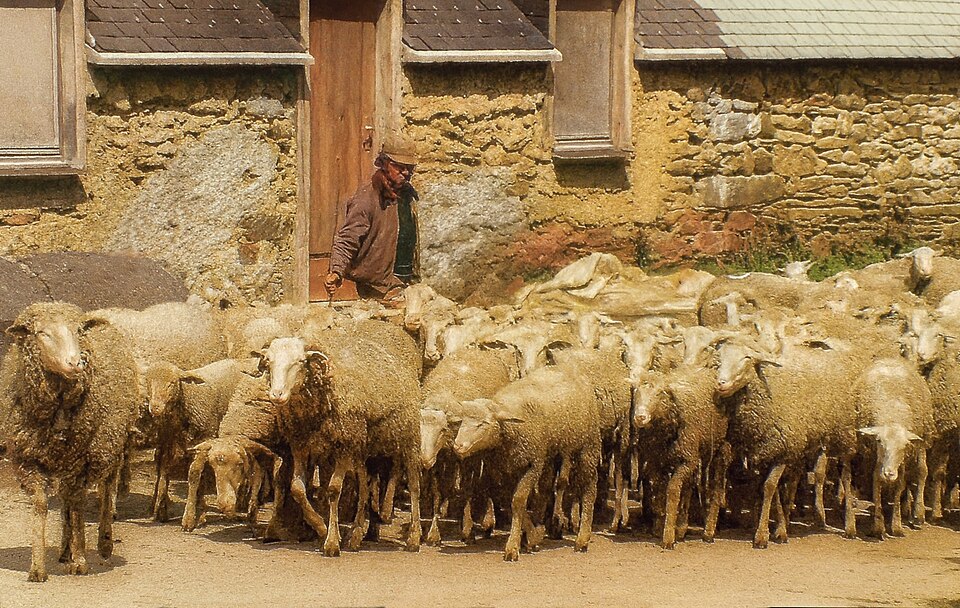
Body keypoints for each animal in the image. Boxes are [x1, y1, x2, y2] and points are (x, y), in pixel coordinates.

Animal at [0, 302, 139, 581]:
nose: (76, 363)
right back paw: (65, 550)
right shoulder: (29, 460)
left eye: (78, 331)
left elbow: (77, 507)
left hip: (109, 445)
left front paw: (80, 560)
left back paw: (103, 543)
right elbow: (42, 505)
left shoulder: (81, 460)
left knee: (105, 492)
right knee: (65, 498)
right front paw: (38, 567)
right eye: (42, 333)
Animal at [142, 357, 256, 522]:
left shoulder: (205, 438)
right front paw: (160, 509)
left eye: (172, 383)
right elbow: (163, 469)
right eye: (148, 382)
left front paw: (198, 513)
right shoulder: (167, 441)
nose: (155, 408)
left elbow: (199, 472)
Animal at [261, 329, 423, 556]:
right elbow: (297, 489)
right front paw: (321, 527)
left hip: (408, 438)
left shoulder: (344, 446)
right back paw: (355, 535)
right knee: (364, 489)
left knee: (415, 486)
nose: (277, 395)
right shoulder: (301, 446)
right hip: (363, 448)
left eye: (301, 361)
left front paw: (331, 543)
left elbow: (333, 489)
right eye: (269, 361)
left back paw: (414, 538)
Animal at [453, 364, 603, 561]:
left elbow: (518, 500)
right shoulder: (506, 468)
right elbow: (511, 500)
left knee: (589, 487)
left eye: (483, 423)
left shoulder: (533, 464)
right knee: (547, 489)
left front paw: (513, 547)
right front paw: (532, 536)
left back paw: (582, 539)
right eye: (462, 421)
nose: (458, 445)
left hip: (588, 444)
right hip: (554, 451)